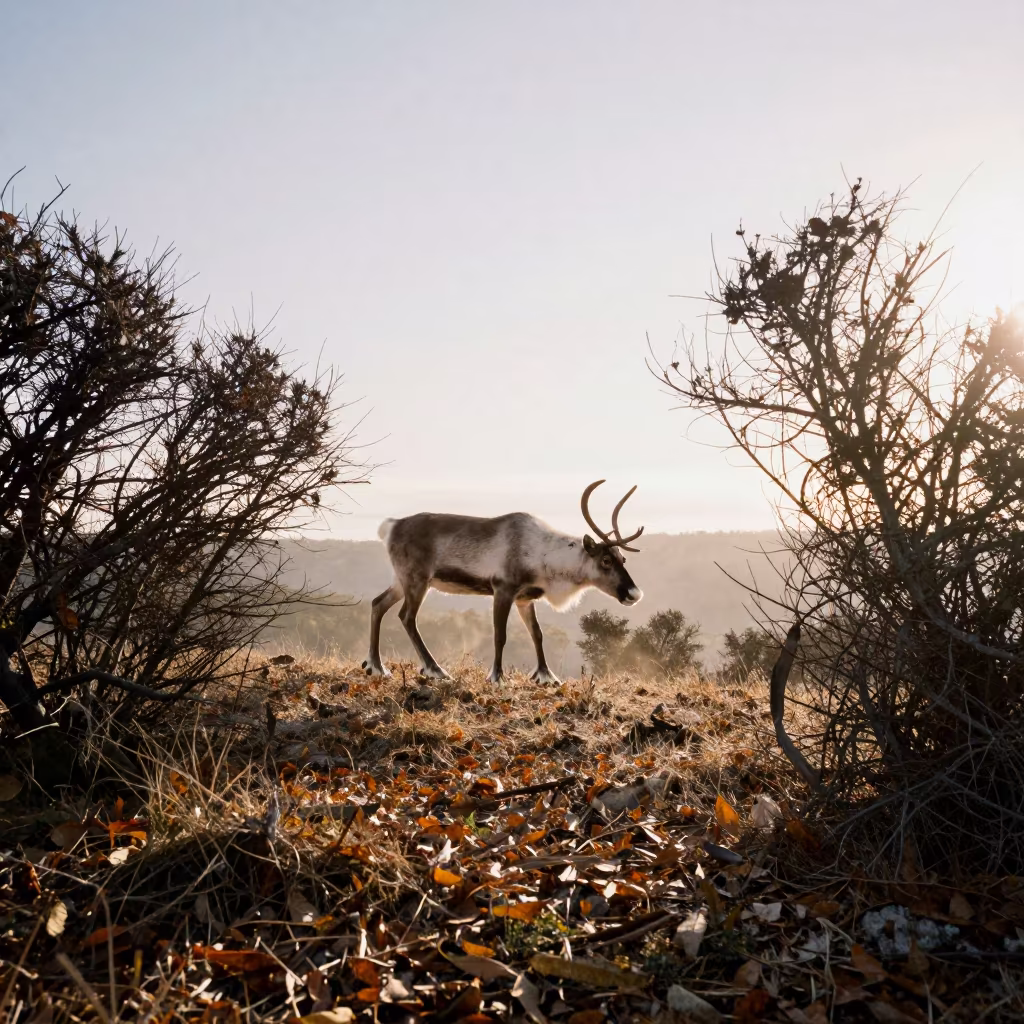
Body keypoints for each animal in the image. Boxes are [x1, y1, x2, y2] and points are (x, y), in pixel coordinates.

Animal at [362, 480, 644, 683]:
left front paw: (546, 676)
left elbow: (537, 634)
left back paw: (376, 666)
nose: (634, 593)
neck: (544, 555)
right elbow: (500, 634)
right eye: (605, 560)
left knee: (377, 604)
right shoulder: (503, 589)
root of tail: (391, 527)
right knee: (407, 617)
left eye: (623, 558)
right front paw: (497, 676)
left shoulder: (524, 598)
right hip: (417, 579)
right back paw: (435, 670)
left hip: (401, 581)